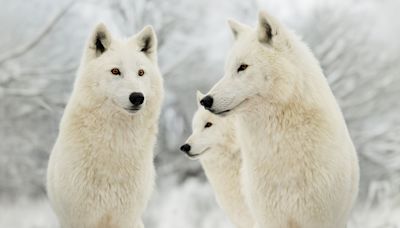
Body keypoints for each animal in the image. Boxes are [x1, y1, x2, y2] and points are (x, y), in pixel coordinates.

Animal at [47, 23, 164, 228]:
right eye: (115, 71)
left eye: (141, 73)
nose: (137, 97)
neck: (117, 144)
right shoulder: (81, 218)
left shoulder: (125, 218)